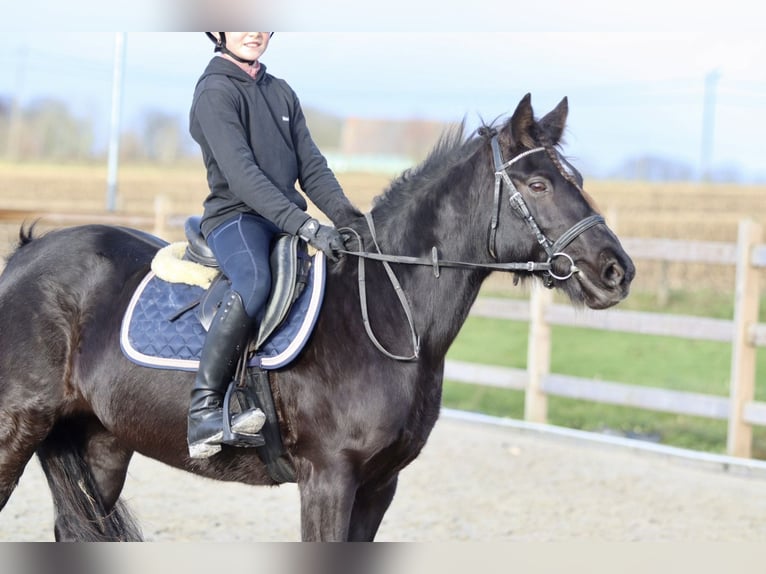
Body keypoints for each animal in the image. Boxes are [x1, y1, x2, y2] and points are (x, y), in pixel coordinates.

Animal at [0, 95, 636, 544]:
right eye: (538, 184)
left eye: (576, 181)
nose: (617, 271)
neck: (388, 313)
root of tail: (26, 256)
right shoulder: (329, 478)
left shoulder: (379, 485)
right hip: (16, 431)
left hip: (101, 444)